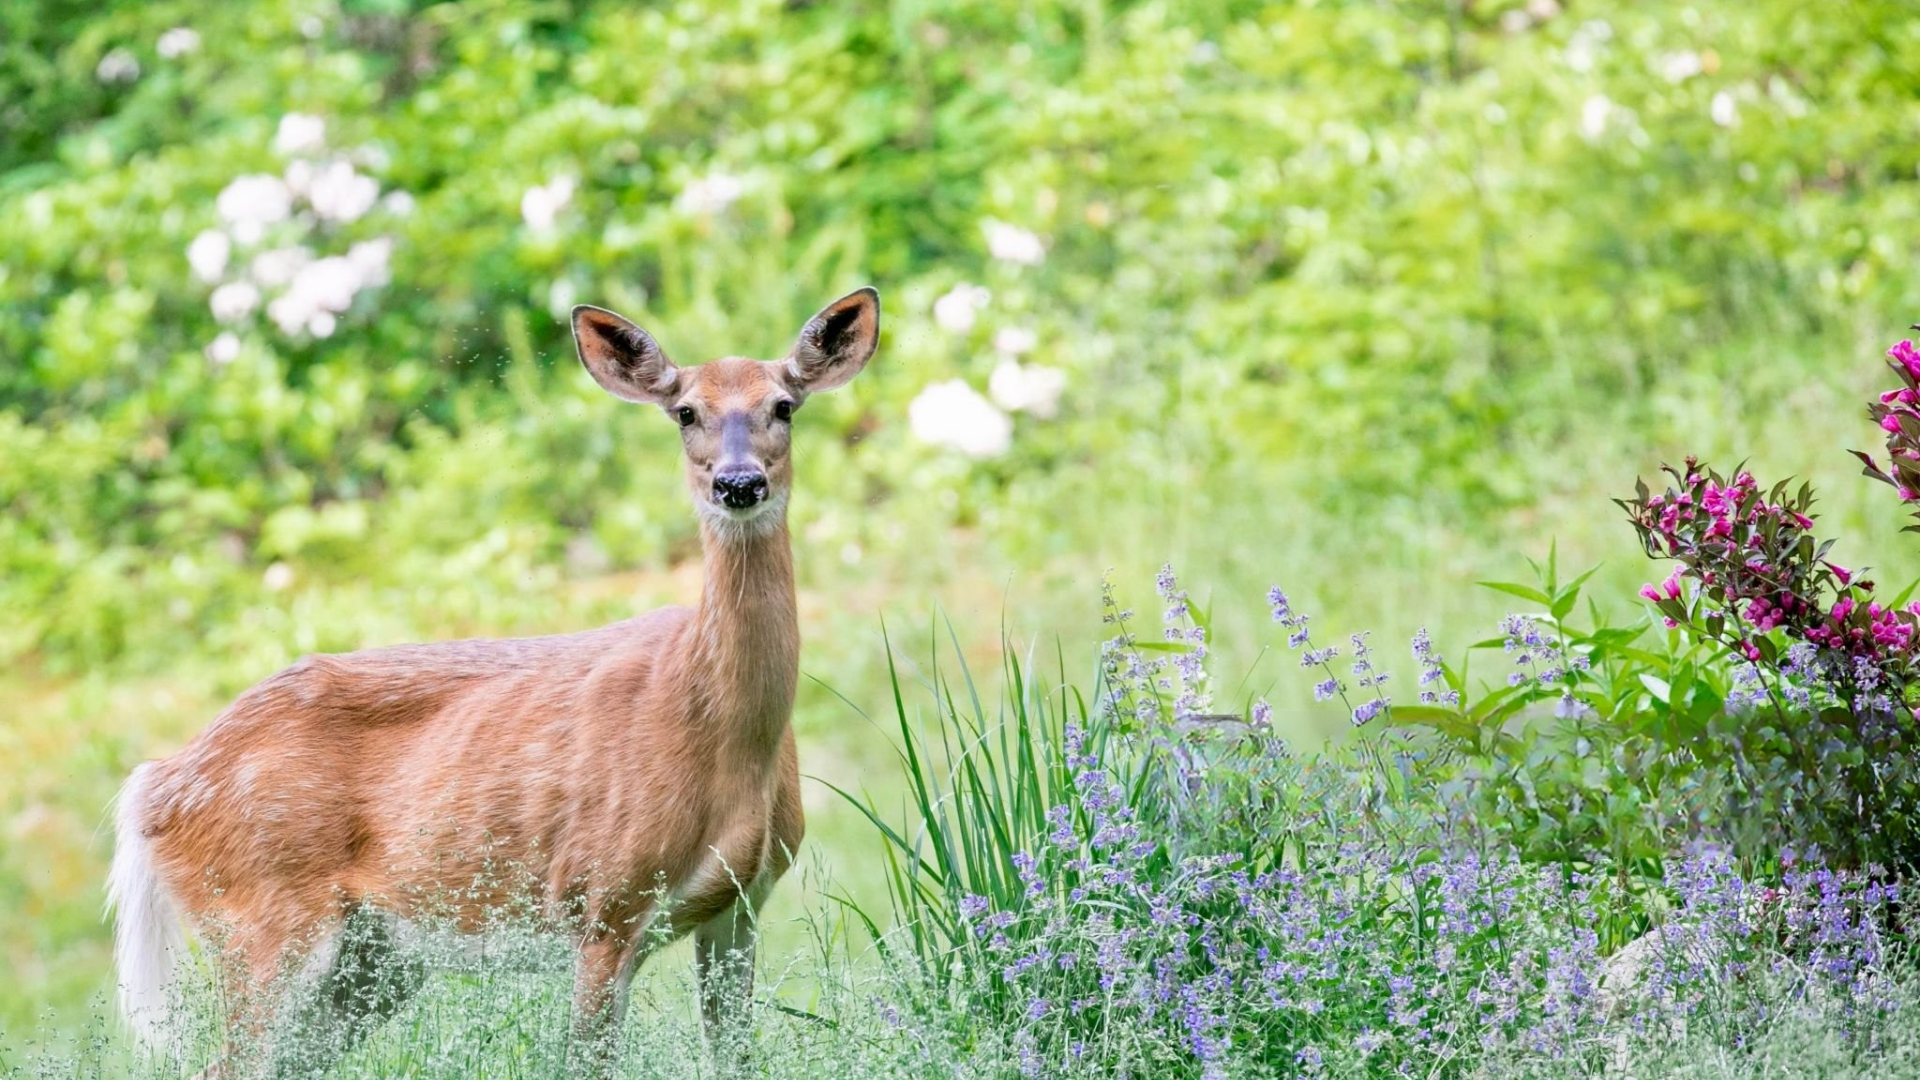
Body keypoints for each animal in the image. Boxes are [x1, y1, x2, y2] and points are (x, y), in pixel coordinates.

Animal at [106, 287, 882, 1073]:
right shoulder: (603, 902)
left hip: (373, 959)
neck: (726, 739)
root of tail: (154, 785)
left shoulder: (742, 906)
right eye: (686, 412)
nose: (738, 483)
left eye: (784, 405)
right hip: (260, 919)